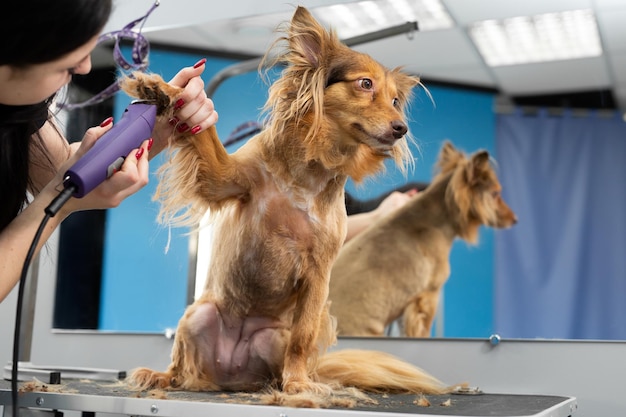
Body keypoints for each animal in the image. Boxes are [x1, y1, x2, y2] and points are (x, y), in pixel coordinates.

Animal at [120, 6, 458, 402]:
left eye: (394, 102)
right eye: (365, 85)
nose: (401, 128)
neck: (305, 176)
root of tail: (228, 374)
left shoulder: (318, 276)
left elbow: (304, 337)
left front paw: (298, 383)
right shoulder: (222, 177)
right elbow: (205, 132)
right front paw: (164, 91)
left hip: (272, 337)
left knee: (277, 362)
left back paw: (283, 384)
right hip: (196, 316)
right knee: (181, 368)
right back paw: (160, 376)